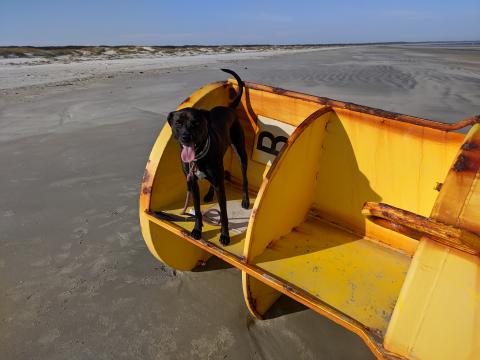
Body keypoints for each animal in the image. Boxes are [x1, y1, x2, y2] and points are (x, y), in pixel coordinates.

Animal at [167, 69, 249, 246]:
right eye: (178, 123)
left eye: (196, 123)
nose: (186, 137)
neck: (197, 158)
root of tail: (229, 108)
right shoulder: (192, 183)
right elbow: (198, 210)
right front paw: (197, 230)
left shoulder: (220, 186)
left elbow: (223, 213)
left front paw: (225, 236)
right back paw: (210, 194)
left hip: (240, 152)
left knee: (244, 177)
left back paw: (245, 200)